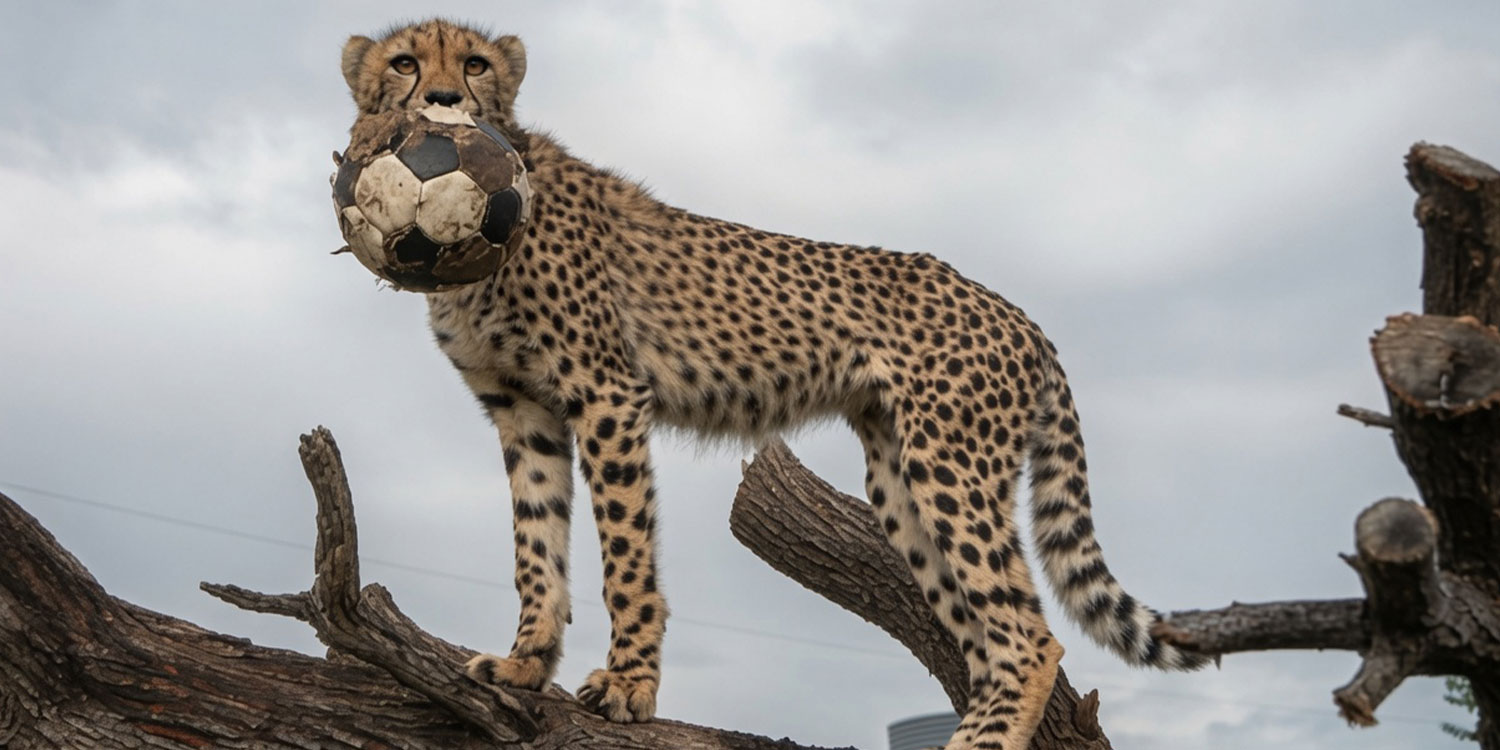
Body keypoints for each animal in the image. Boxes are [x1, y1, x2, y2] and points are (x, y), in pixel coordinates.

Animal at [340, 18, 1207, 750]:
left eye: (475, 64)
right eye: (406, 62)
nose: (443, 101)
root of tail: (1021, 316)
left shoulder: (606, 393)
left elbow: (626, 555)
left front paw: (629, 687)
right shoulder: (524, 411)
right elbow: (535, 544)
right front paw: (526, 663)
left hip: (951, 466)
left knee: (1030, 636)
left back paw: (985, 738)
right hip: (900, 480)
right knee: (987, 637)